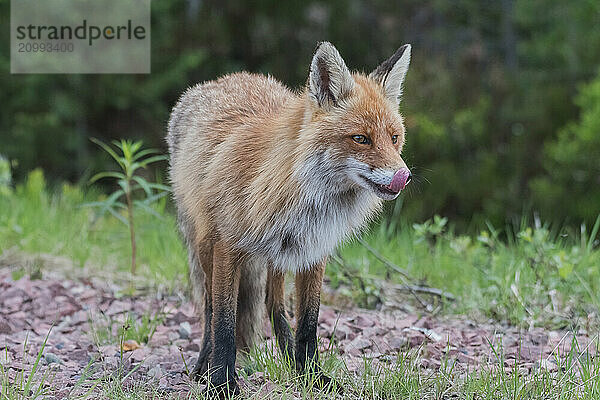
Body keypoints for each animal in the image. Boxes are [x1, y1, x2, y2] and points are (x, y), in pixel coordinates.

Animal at [169, 41, 412, 394]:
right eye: (361, 138)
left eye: (393, 138)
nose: (403, 177)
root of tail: (226, 78)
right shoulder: (227, 246)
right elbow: (224, 322)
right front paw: (221, 383)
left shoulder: (314, 251)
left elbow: (308, 324)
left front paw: (311, 376)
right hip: (204, 247)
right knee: (210, 308)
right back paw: (204, 363)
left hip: (277, 256)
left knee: (274, 304)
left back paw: (287, 359)